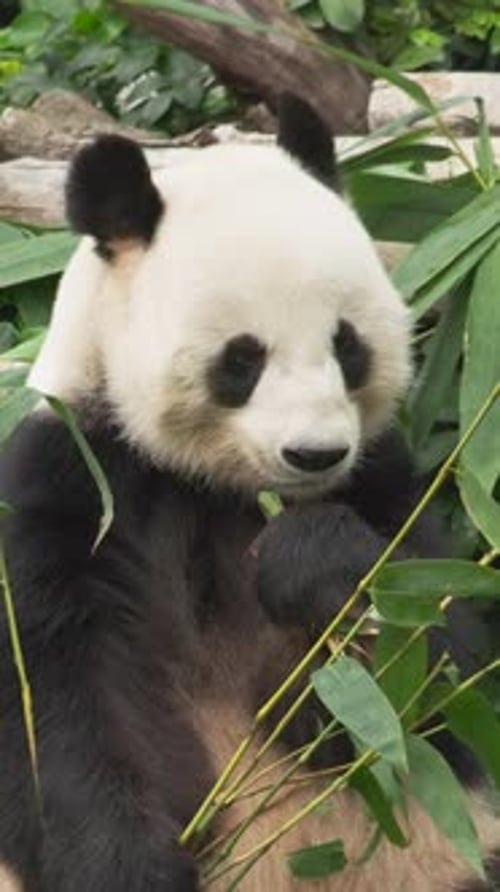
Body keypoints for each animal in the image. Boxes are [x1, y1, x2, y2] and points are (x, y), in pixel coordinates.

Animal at [0, 95, 499, 892]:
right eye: (242, 359)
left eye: (346, 344)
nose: (315, 454)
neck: (219, 487)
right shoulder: (73, 479)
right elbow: (56, 699)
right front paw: (128, 868)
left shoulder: (384, 482)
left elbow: (427, 685)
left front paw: (314, 562)